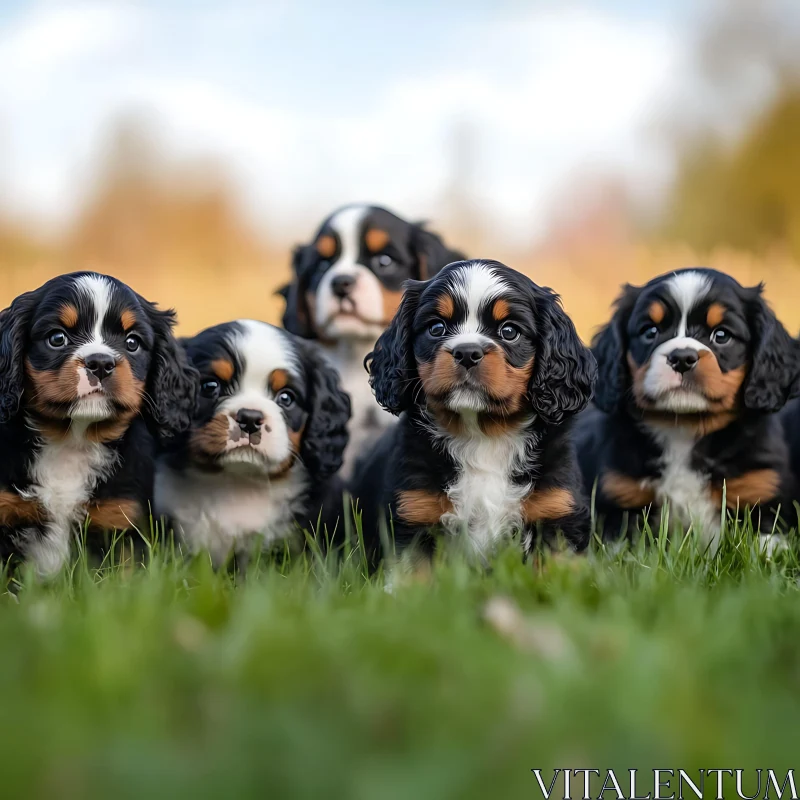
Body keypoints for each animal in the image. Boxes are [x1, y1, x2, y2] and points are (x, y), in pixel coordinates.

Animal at [354, 260, 596, 572]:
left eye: (509, 331)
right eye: (436, 328)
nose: (467, 352)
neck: (482, 435)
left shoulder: (556, 512)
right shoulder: (415, 514)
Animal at [580, 266, 800, 548]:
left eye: (722, 335)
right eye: (650, 331)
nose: (682, 358)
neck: (683, 428)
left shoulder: (761, 497)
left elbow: (765, 545)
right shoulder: (622, 501)